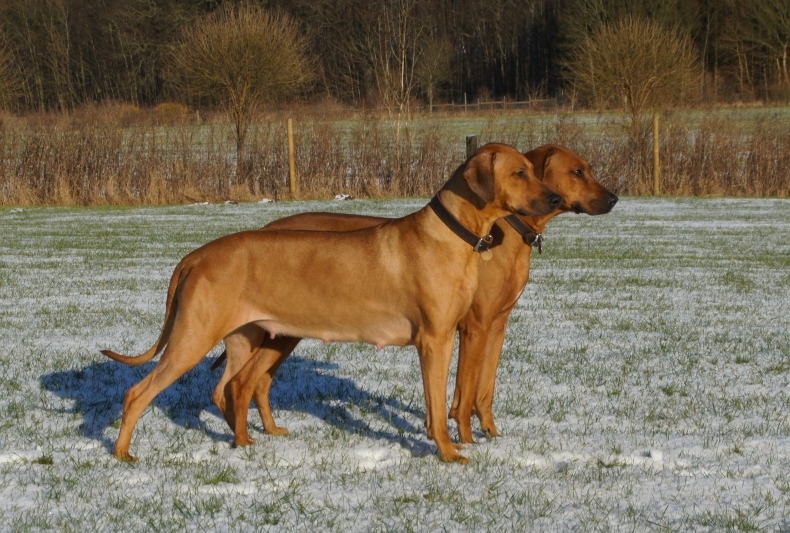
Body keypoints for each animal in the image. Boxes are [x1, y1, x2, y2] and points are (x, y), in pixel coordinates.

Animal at [102, 142, 560, 462]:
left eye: (533, 170)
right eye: (520, 172)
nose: (556, 199)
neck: (451, 234)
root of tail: (196, 255)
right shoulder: (436, 340)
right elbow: (438, 404)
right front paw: (448, 453)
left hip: (247, 337)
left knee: (231, 386)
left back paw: (244, 440)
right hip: (193, 337)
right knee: (138, 393)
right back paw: (123, 453)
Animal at [217, 142, 620, 444]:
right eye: (577, 171)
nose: (615, 199)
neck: (503, 231)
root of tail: (266, 227)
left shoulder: (497, 324)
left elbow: (485, 389)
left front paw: (490, 433)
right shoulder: (472, 326)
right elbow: (464, 391)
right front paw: (463, 436)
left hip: (282, 333)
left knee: (256, 383)